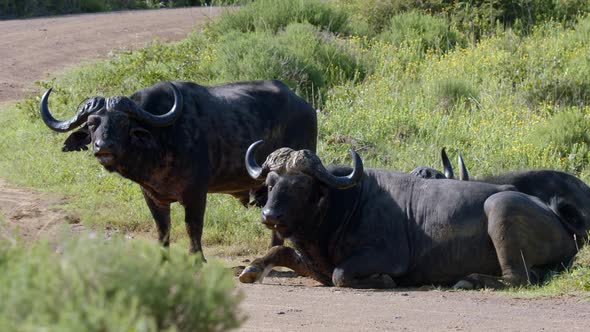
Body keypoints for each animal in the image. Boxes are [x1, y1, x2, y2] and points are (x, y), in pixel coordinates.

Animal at [40, 80, 320, 256]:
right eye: (91, 123)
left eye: (122, 122)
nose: (103, 147)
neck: (161, 140)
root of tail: (306, 106)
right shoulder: (152, 196)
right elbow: (162, 229)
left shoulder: (196, 194)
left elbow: (192, 227)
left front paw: (197, 259)